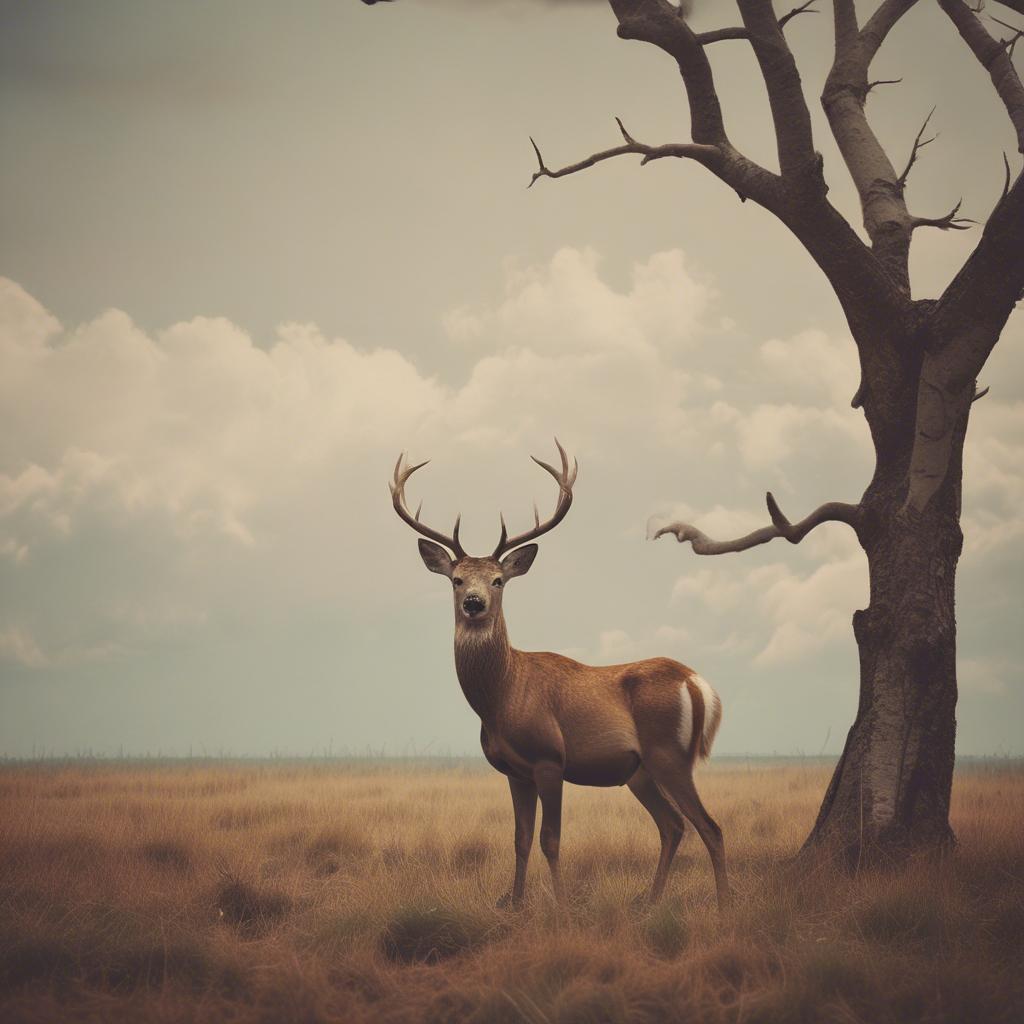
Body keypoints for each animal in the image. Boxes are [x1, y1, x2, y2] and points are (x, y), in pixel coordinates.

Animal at [390, 440, 730, 910]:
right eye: (456, 579)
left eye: (498, 580)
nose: (474, 603)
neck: (503, 697)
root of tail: (698, 683)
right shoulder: (513, 770)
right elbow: (519, 839)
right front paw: (515, 904)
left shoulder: (550, 758)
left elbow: (550, 840)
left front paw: (563, 905)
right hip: (639, 770)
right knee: (673, 825)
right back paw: (649, 901)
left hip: (670, 754)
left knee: (709, 826)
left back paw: (724, 905)